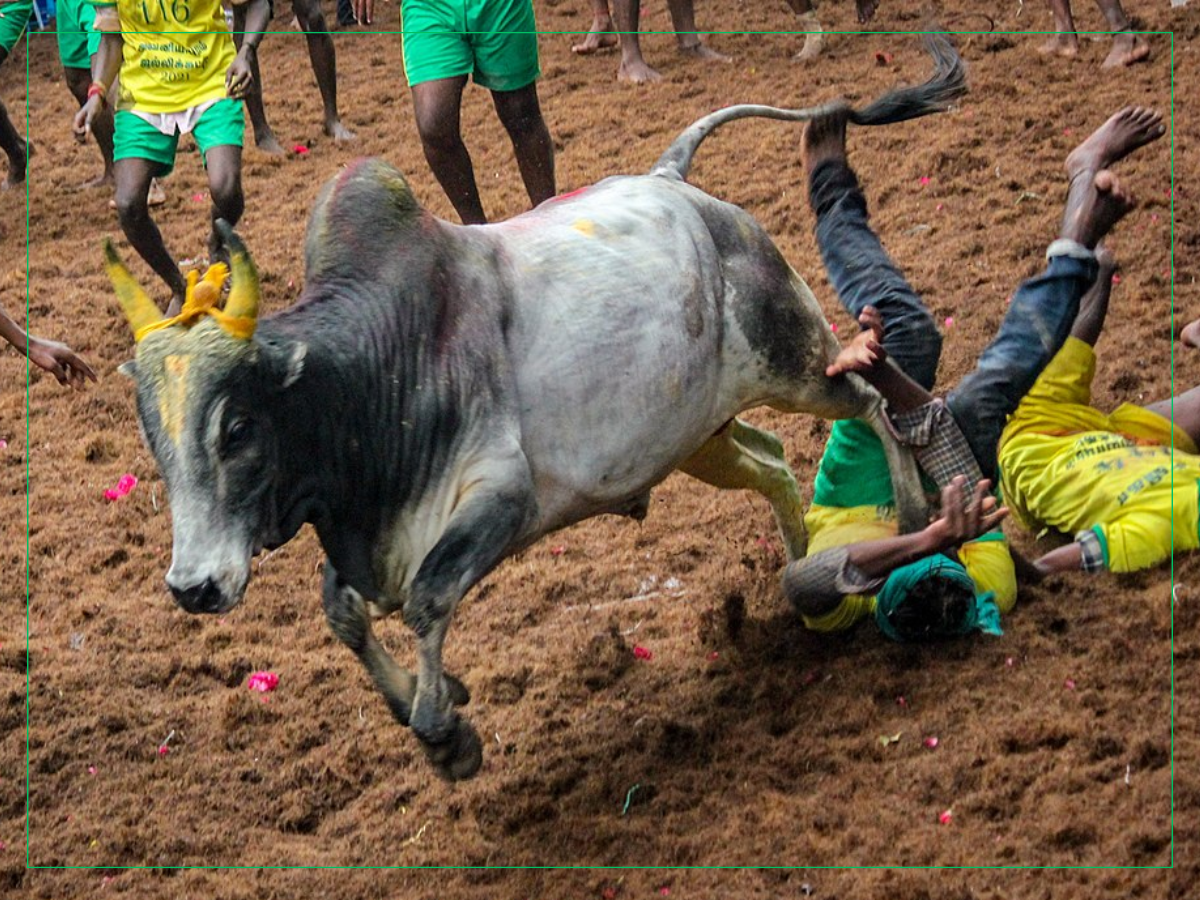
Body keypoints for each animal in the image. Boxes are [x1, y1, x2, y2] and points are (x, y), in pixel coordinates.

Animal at [110, 37, 964, 782]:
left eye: (238, 427)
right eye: (155, 438)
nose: (194, 587)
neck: (376, 374)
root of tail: (675, 179)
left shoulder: (501, 500)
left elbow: (425, 600)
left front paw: (446, 736)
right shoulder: (365, 538)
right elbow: (343, 613)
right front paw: (434, 700)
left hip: (795, 359)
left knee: (873, 404)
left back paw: (913, 513)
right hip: (700, 436)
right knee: (776, 464)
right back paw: (802, 572)